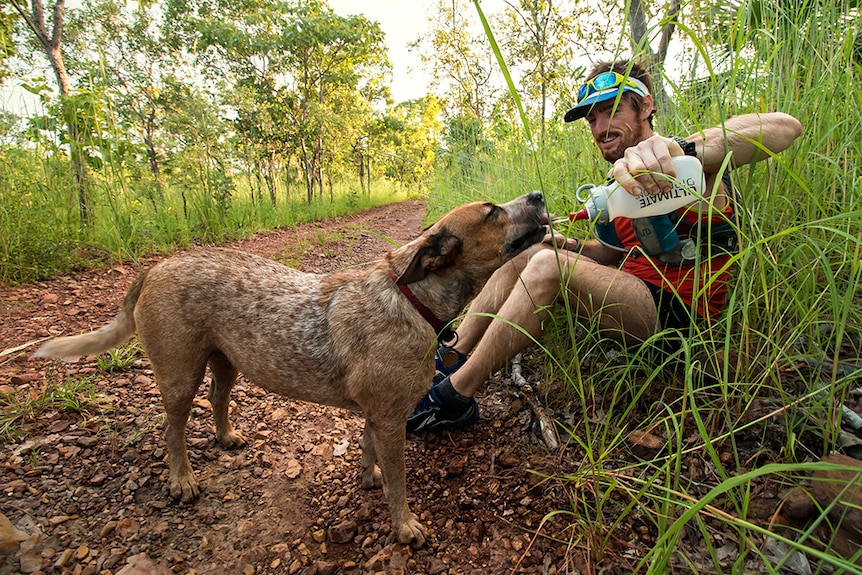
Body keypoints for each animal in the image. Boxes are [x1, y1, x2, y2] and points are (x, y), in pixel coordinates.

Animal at [37, 191, 548, 548]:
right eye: (492, 212)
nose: (540, 195)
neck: (411, 297)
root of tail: (157, 266)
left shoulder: (377, 415)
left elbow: (369, 452)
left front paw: (369, 477)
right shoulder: (389, 418)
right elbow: (399, 484)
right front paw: (404, 526)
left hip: (226, 362)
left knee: (218, 398)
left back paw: (225, 436)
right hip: (180, 375)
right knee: (172, 428)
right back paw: (181, 479)